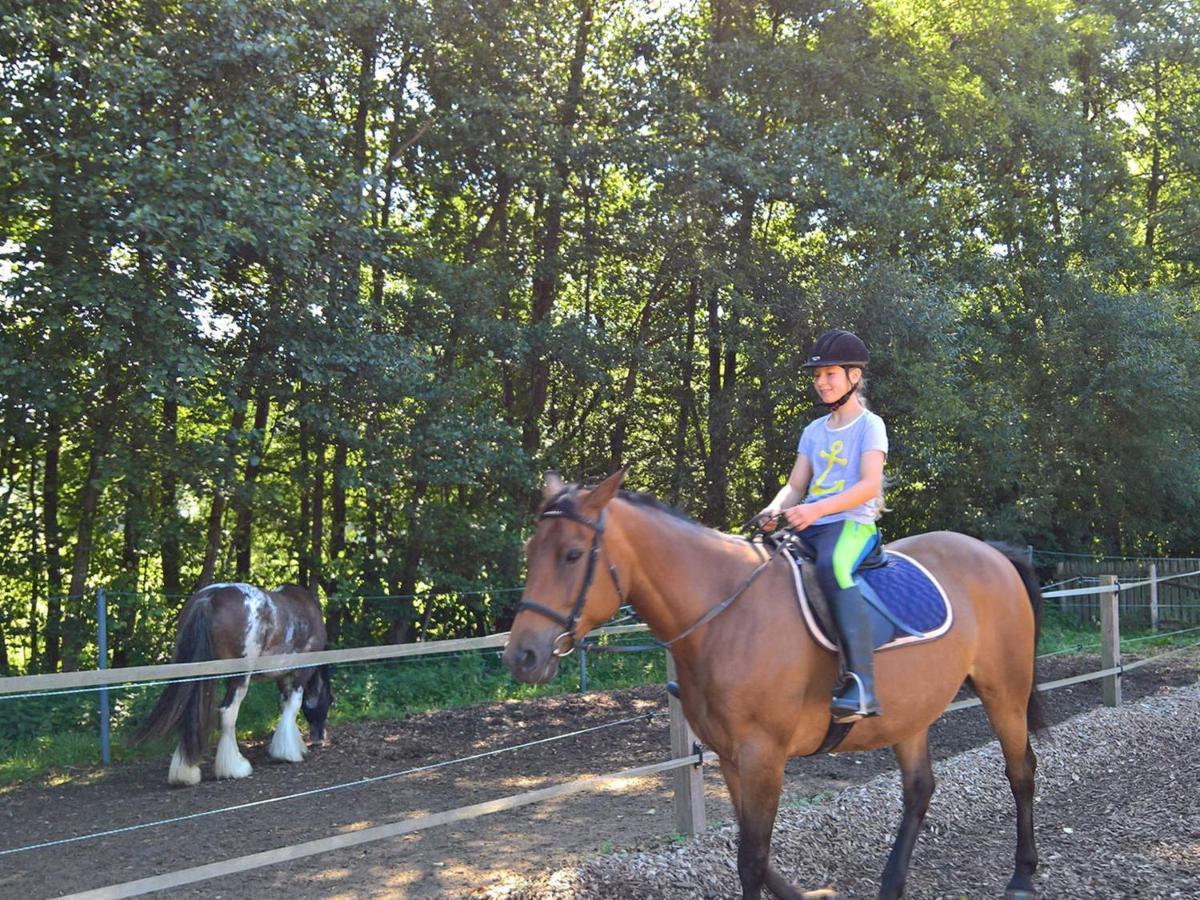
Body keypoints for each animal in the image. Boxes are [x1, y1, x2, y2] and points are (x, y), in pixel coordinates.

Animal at [135, 585, 333, 787]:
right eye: (331, 701)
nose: (320, 737)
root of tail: (209, 598)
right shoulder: (301, 672)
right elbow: (293, 706)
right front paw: (289, 753)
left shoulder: (282, 675)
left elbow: (285, 706)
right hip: (239, 678)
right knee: (228, 712)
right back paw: (235, 767)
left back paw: (185, 773)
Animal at [501, 472, 1046, 900]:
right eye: (529, 552)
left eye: (572, 555)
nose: (522, 656)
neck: (726, 612)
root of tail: (990, 553)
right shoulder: (730, 754)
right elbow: (752, 853)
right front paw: (812, 894)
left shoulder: (763, 752)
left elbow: (752, 859)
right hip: (911, 710)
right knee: (918, 790)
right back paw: (891, 886)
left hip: (1004, 690)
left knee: (1020, 771)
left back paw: (1022, 875)